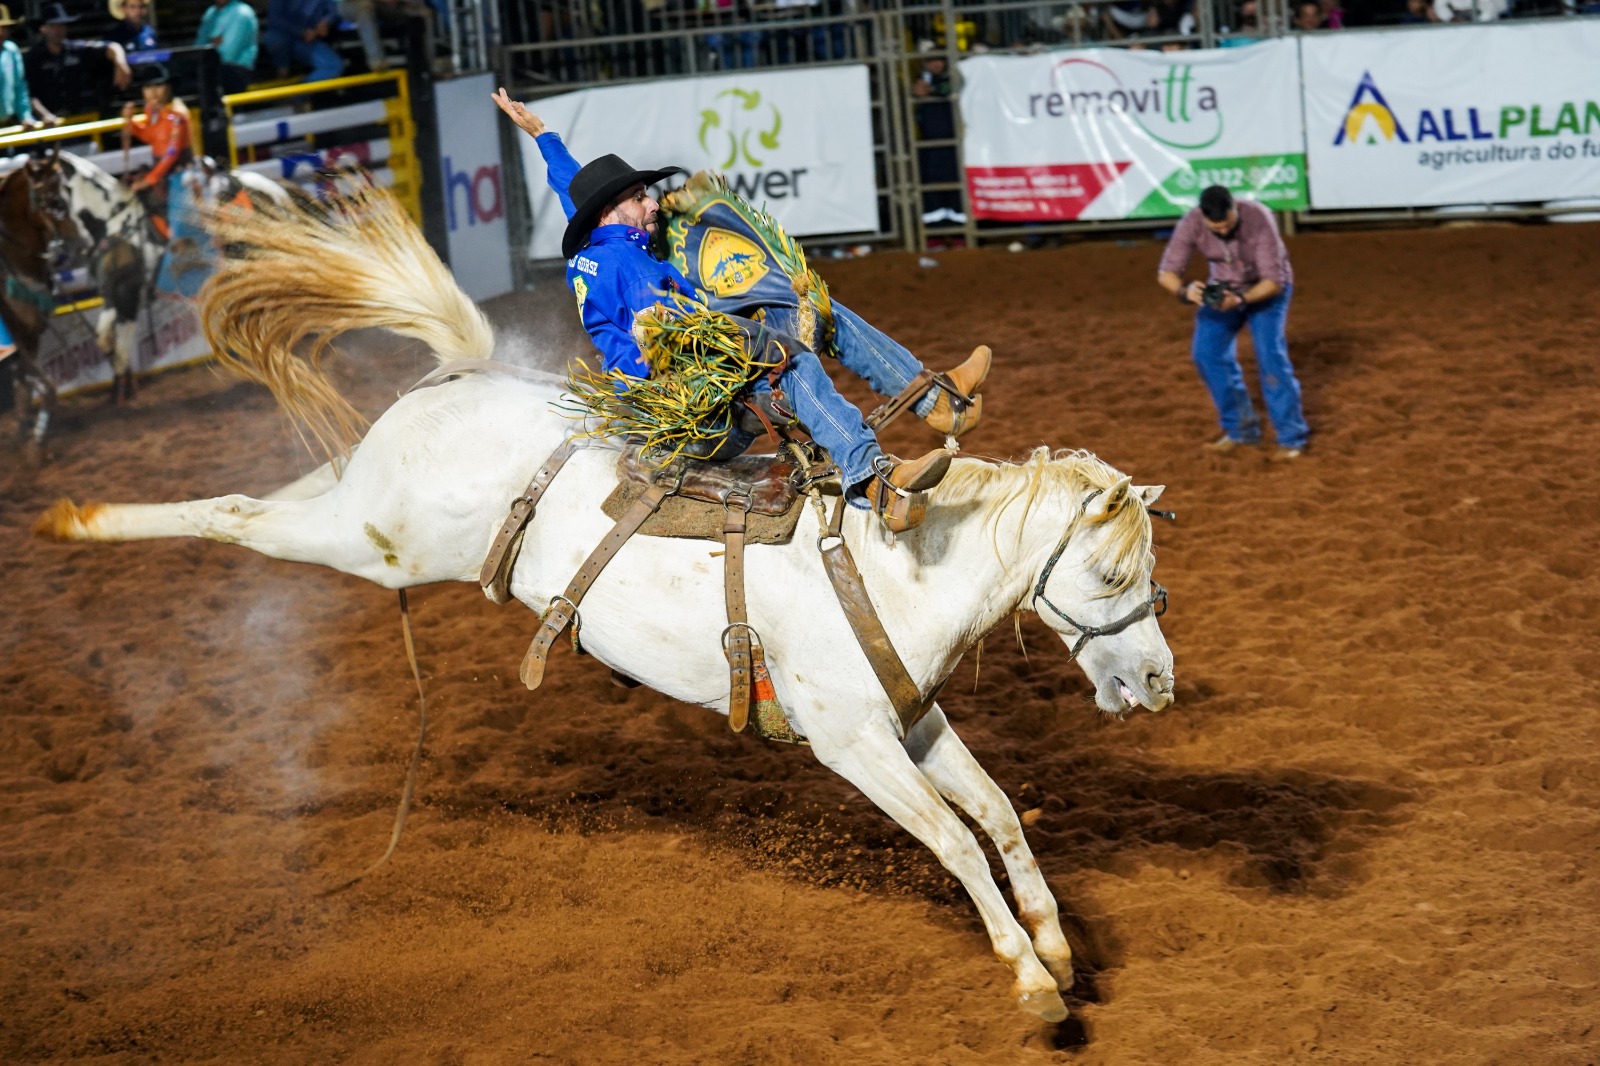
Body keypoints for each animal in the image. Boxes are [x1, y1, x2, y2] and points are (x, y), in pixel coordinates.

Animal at [37, 186, 1177, 1017]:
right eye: (1113, 576)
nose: (1159, 683)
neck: (896, 560)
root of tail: (474, 374)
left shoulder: (916, 718)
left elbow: (999, 815)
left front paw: (1058, 944)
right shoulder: (852, 744)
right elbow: (950, 839)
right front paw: (1028, 979)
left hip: (364, 507)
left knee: (281, 489)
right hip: (375, 544)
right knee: (236, 515)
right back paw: (79, 524)